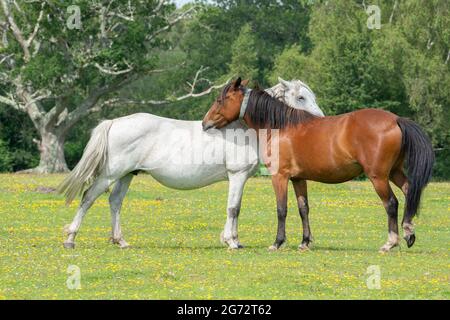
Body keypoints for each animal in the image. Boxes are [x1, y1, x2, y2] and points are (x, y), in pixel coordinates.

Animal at [59, 77, 324, 250]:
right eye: (301, 97)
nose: (320, 119)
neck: (243, 128)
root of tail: (115, 121)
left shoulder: (239, 178)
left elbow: (235, 209)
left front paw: (233, 239)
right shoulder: (237, 175)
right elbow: (233, 208)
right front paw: (231, 241)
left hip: (127, 174)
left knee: (115, 202)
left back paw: (120, 241)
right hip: (110, 174)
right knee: (88, 197)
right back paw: (70, 238)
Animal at [202, 79, 434, 252]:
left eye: (220, 99)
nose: (205, 123)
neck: (281, 126)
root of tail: (396, 119)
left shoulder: (280, 177)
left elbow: (281, 209)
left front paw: (277, 242)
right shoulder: (298, 178)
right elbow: (303, 208)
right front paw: (304, 242)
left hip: (378, 177)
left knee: (391, 203)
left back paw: (390, 242)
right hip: (394, 172)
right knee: (409, 191)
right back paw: (409, 233)